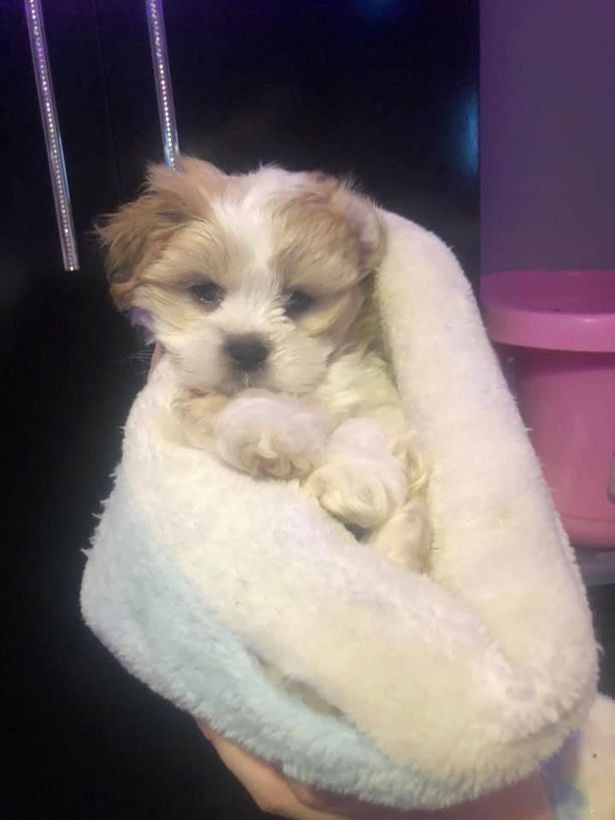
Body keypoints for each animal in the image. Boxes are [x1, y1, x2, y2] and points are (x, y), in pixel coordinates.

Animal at [98, 157, 430, 572]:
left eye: (298, 300)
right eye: (205, 292)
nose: (246, 349)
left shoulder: (373, 388)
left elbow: (368, 422)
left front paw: (356, 480)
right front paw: (270, 431)